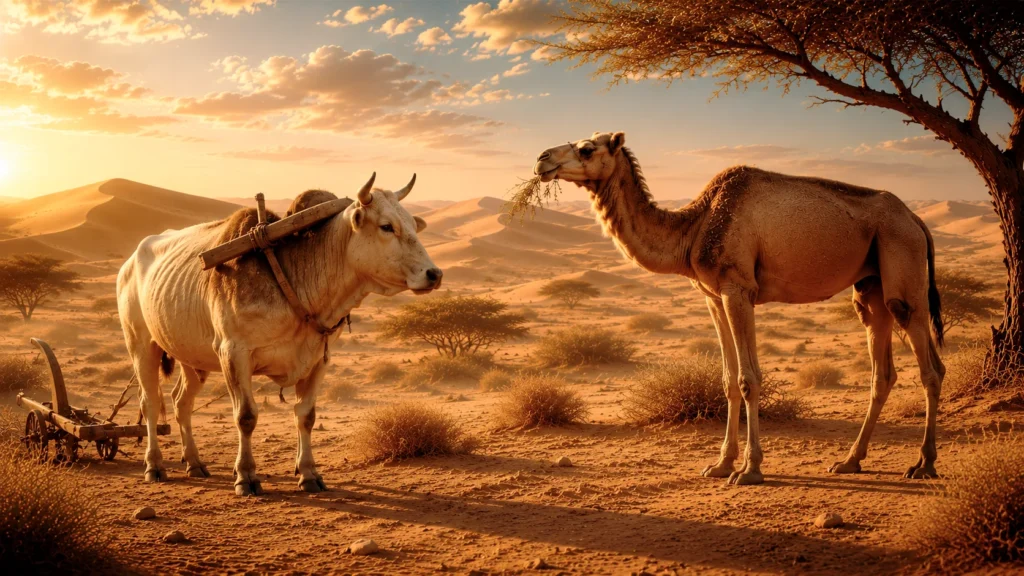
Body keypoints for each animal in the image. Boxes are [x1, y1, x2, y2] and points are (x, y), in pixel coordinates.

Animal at [118, 173, 442, 495]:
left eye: (413, 225)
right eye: (387, 226)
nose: (434, 274)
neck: (294, 276)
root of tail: (129, 262)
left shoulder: (318, 359)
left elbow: (306, 416)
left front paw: (308, 473)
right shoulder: (233, 353)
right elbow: (246, 417)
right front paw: (246, 476)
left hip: (191, 358)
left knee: (181, 402)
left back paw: (194, 462)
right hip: (141, 346)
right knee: (150, 403)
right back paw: (154, 465)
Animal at [534, 132, 945, 485]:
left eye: (587, 148)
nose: (542, 159)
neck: (693, 227)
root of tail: (917, 220)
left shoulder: (738, 289)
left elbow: (749, 379)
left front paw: (750, 469)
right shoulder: (713, 297)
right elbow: (729, 381)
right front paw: (720, 464)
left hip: (902, 267)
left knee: (931, 367)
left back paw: (923, 464)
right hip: (871, 287)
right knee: (882, 370)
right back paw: (849, 461)